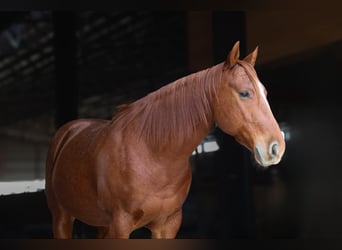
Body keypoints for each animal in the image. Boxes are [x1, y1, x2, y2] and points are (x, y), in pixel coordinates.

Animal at [45, 42, 286, 239]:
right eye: (244, 93)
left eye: (265, 93)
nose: (276, 148)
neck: (153, 155)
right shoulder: (120, 225)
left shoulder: (168, 224)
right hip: (62, 217)